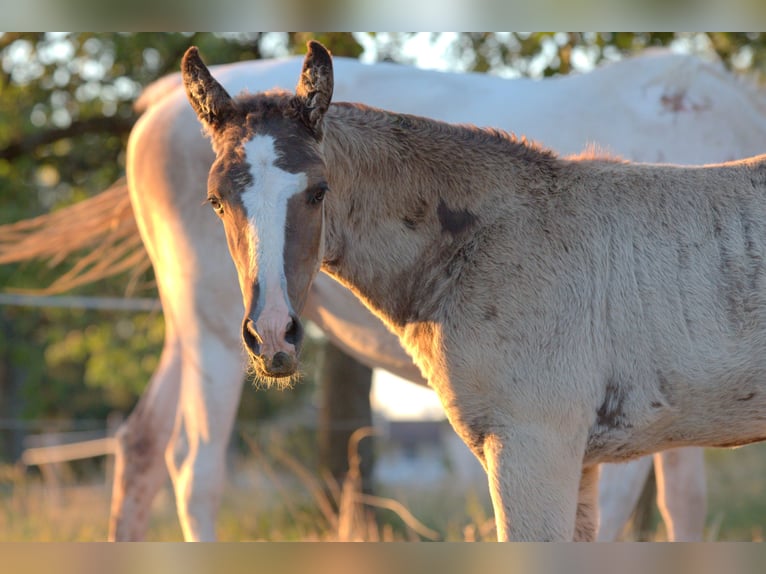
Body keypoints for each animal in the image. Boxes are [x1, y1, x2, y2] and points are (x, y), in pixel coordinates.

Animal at [6, 46, 766, 541]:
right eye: (216, 201)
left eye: (319, 191)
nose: (277, 334)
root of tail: (158, 98)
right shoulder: (547, 443)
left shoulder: (573, 441)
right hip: (214, 325)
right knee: (195, 465)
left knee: (142, 447)